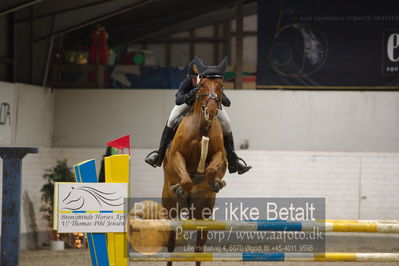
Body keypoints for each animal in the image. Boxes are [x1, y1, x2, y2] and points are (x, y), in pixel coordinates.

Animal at [161, 57, 227, 264]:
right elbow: (186, 178)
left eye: (221, 86)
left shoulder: (220, 155)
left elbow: (212, 169)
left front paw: (214, 182)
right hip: (169, 208)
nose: (212, 111)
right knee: (171, 245)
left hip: (203, 212)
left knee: (199, 247)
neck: (202, 126)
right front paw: (182, 187)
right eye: (202, 85)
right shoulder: (177, 156)